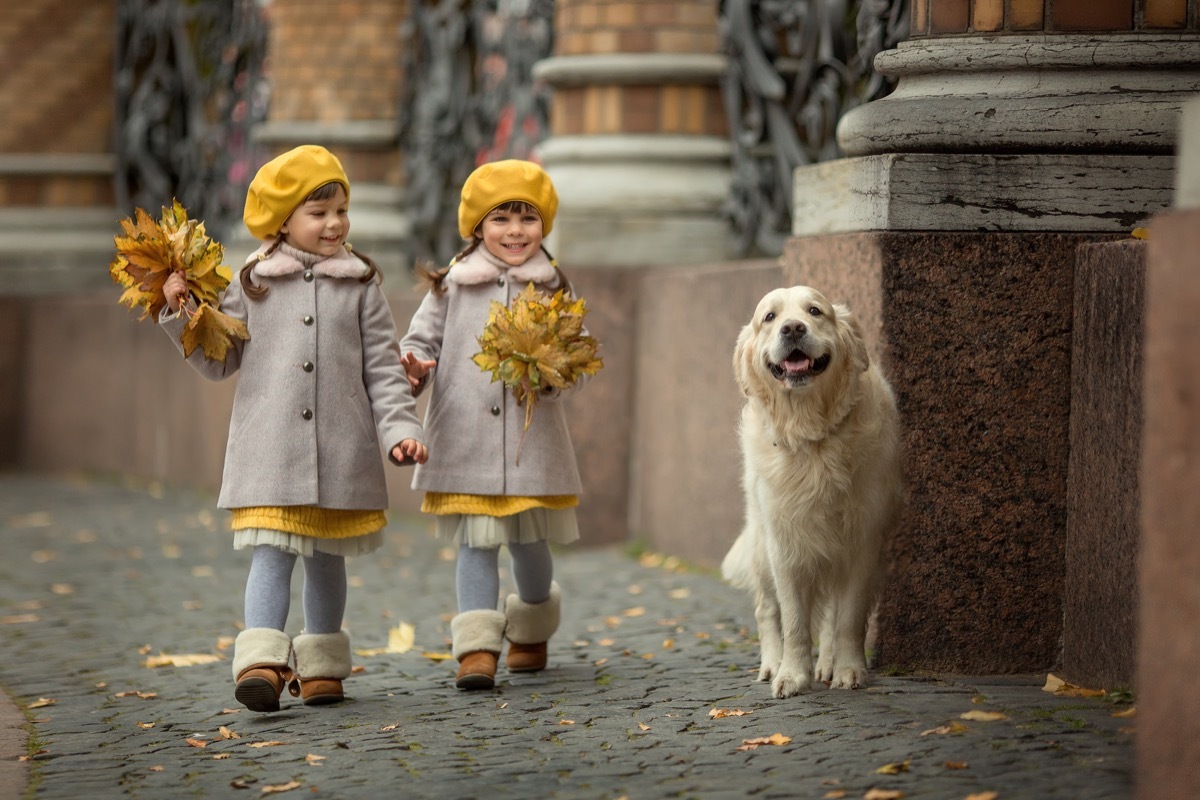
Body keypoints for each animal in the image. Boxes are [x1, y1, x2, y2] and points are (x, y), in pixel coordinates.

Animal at [720, 289, 902, 700]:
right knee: (766, 610)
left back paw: (829, 663)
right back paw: (772, 663)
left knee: (833, 616)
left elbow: (848, 619)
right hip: (760, 543)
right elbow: (793, 622)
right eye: (769, 317)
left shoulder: (862, 542)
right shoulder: (785, 545)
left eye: (815, 311)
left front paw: (849, 669)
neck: (813, 437)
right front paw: (792, 674)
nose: (792, 328)